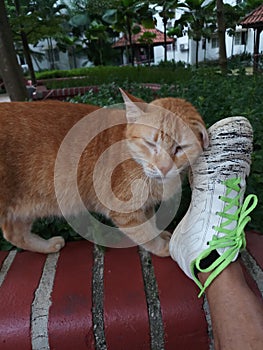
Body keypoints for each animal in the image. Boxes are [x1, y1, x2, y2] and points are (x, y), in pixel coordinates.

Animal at [0, 91, 209, 258]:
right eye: (151, 144)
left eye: (180, 148)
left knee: (13, 234)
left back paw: (47, 246)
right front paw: (162, 247)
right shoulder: (125, 212)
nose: (164, 168)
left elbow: (151, 223)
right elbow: (146, 233)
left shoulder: (146, 206)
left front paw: (160, 233)